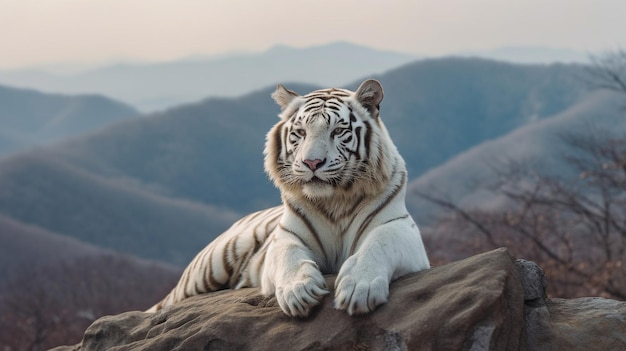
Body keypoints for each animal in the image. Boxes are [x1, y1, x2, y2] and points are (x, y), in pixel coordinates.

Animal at [147, 80, 428, 320]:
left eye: (338, 131)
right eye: (301, 132)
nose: (312, 162)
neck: (335, 201)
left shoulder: (399, 228)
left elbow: (379, 244)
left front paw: (360, 286)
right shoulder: (286, 236)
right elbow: (288, 254)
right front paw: (298, 291)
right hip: (211, 265)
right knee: (166, 301)